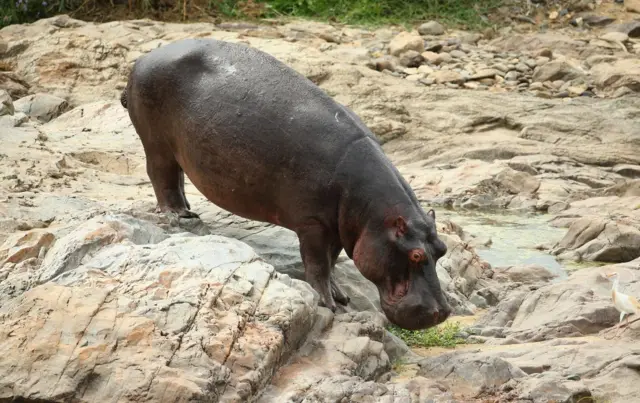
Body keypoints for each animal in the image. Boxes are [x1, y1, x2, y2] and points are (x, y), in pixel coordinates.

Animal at [120, 38, 450, 330]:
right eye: (416, 255)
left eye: (442, 250)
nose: (443, 312)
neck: (374, 216)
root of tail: (143, 58)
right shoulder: (313, 224)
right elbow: (317, 263)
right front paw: (327, 303)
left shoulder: (340, 227)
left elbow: (332, 261)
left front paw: (341, 295)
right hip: (156, 143)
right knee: (161, 176)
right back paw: (179, 215)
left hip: (175, 148)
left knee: (175, 176)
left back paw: (189, 209)